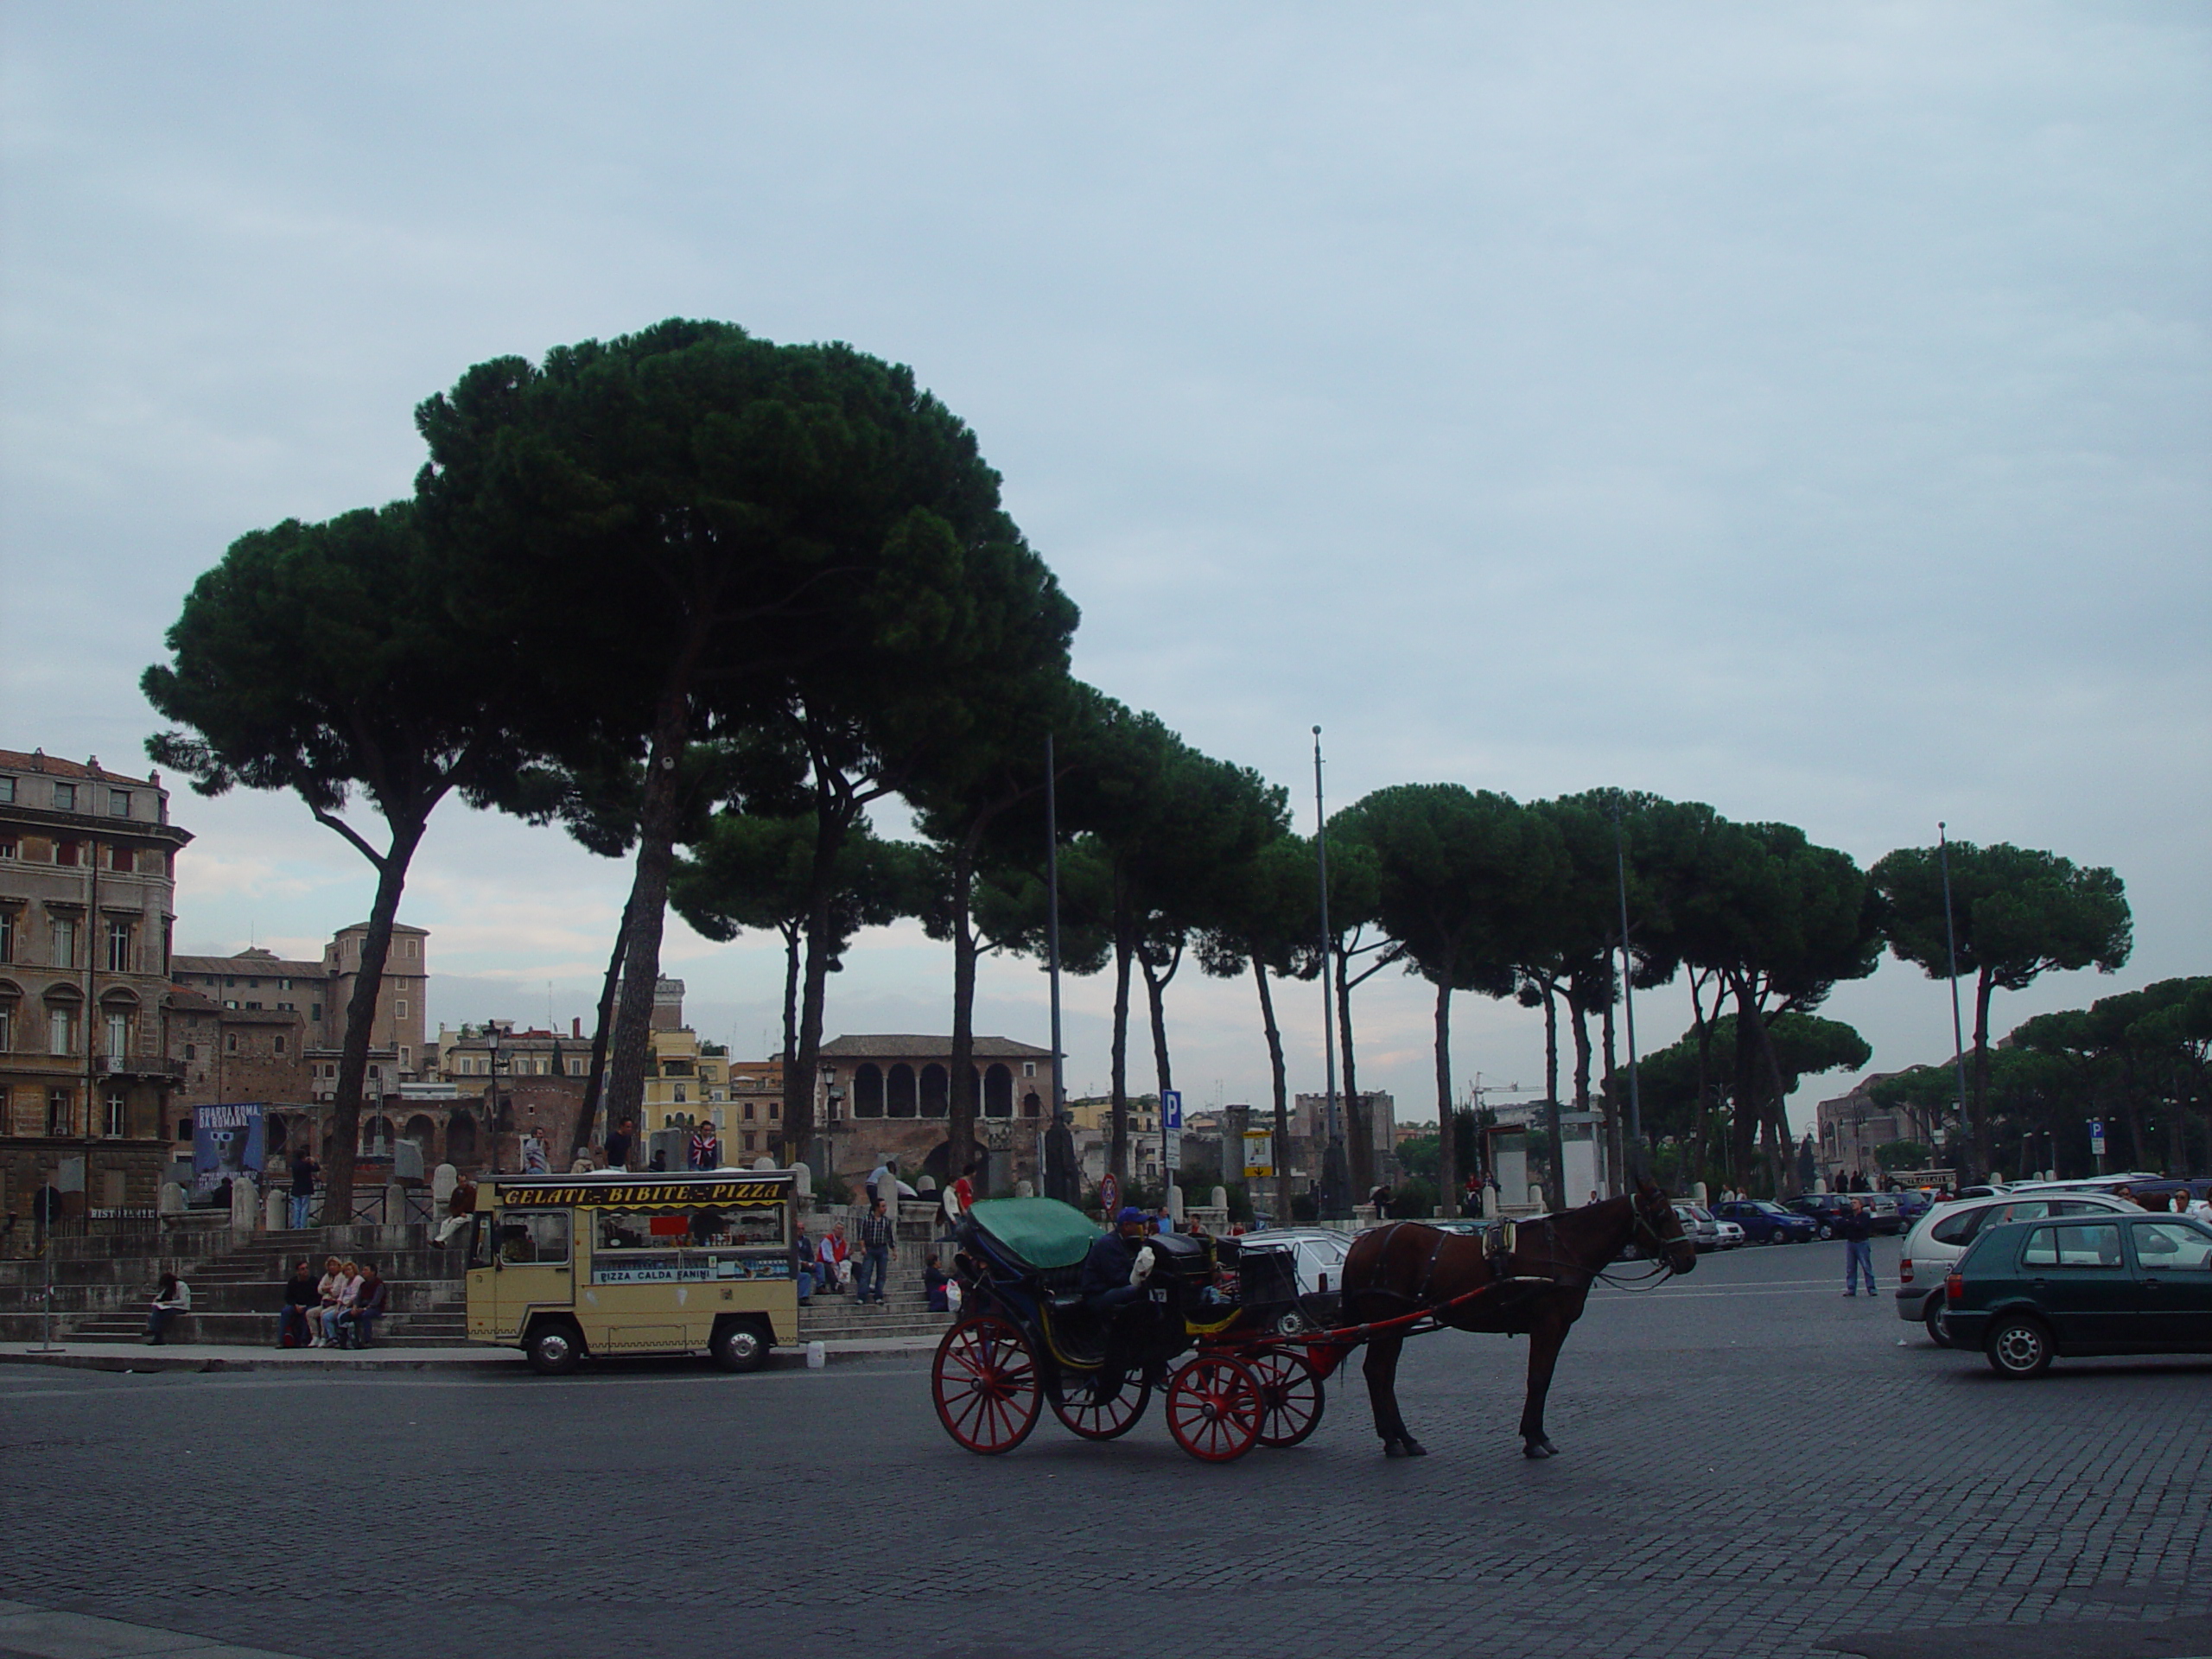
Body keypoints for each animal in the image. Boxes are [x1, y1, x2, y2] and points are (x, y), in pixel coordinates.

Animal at [1344, 1176, 1689, 1459]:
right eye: (1662, 1215)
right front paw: (1533, 1440)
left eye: (1675, 1213)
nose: (1689, 1258)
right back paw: (1396, 1439)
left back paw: (1400, 1438)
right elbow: (1537, 1378)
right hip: (1389, 1322)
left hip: (1396, 1324)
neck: (1561, 1250)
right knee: (1377, 1371)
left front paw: (1538, 1435)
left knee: (1382, 1374)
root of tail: (1363, 1242)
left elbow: (1544, 1378)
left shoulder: (1558, 1328)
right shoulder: (1547, 1324)